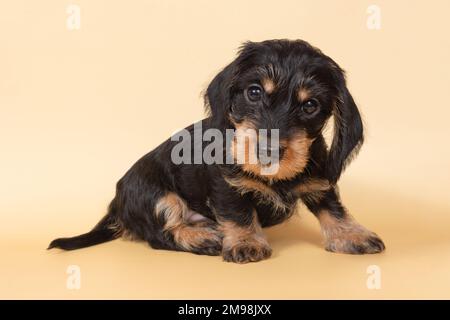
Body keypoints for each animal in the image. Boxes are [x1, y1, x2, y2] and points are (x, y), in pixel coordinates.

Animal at [50, 39, 386, 262]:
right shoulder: (226, 184)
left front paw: (352, 235)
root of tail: (116, 205)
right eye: (254, 92)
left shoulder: (319, 180)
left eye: (310, 105)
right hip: (153, 194)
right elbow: (238, 212)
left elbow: (333, 208)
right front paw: (246, 242)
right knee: (161, 234)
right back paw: (203, 238)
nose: (268, 150)